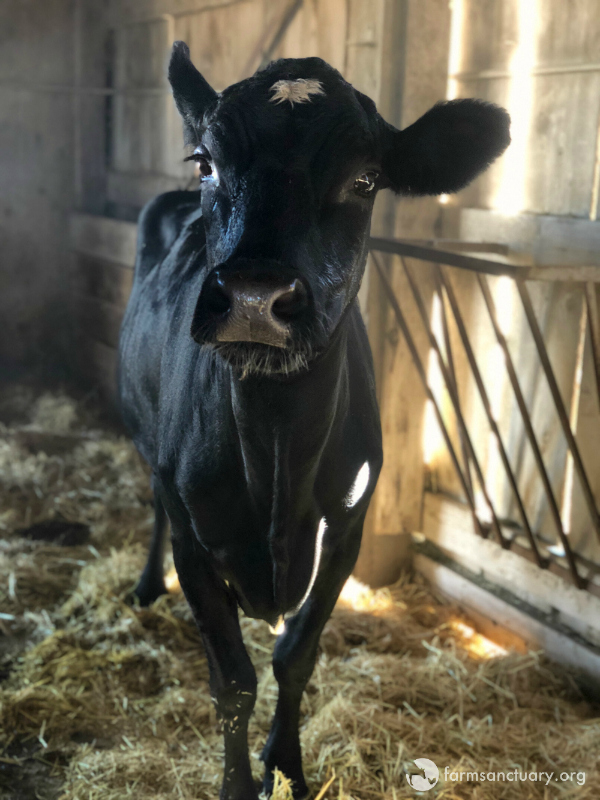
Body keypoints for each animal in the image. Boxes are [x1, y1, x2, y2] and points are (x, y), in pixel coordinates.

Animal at [118, 43, 510, 800]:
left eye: (366, 178)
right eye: (206, 161)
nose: (253, 296)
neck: (275, 449)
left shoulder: (348, 529)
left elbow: (295, 657)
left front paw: (288, 768)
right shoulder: (195, 536)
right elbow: (233, 682)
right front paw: (239, 784)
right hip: (152, 448)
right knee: (151, 499)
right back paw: (148, 588)